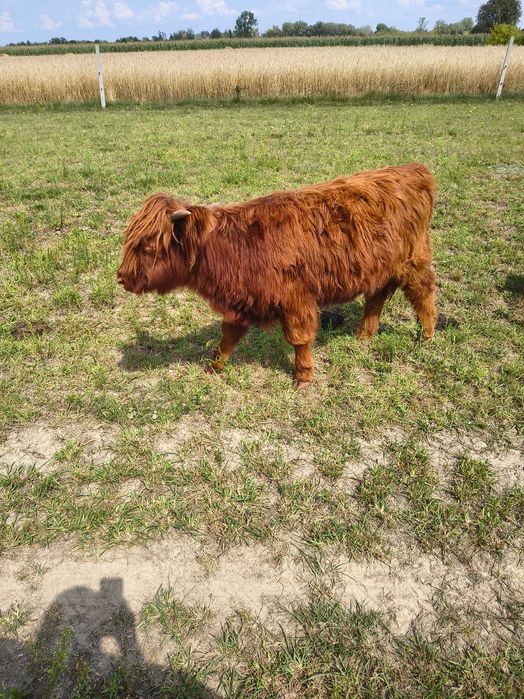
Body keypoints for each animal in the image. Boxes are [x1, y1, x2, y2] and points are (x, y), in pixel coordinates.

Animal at [117, 163, 436, 387]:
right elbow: (229, 336)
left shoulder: (296, 298)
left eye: (147, 246)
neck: (231, 247)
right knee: (376, 297)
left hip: (414, 260)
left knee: (423, 292)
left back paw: (427, 335)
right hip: (381, 268)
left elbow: (299, 338)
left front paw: (303, 376)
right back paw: (363, 335)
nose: (121, 278)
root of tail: (413, 170)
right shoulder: (241, 301)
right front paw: (215, 365)